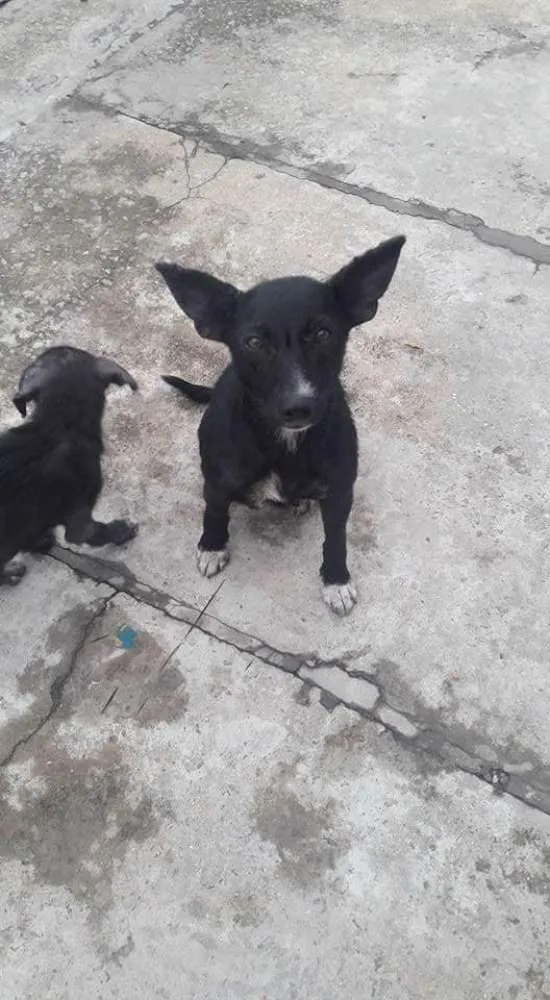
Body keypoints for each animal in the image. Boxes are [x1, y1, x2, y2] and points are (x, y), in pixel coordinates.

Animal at [157, 238, 408, 612]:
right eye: (254, 342)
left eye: (323, 333)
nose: (298, 407)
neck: (287, 442)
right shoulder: (218, 481)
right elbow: (215, 510)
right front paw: (212, 546)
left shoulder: (339, 492)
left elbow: (336, 538)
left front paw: (336, 580)